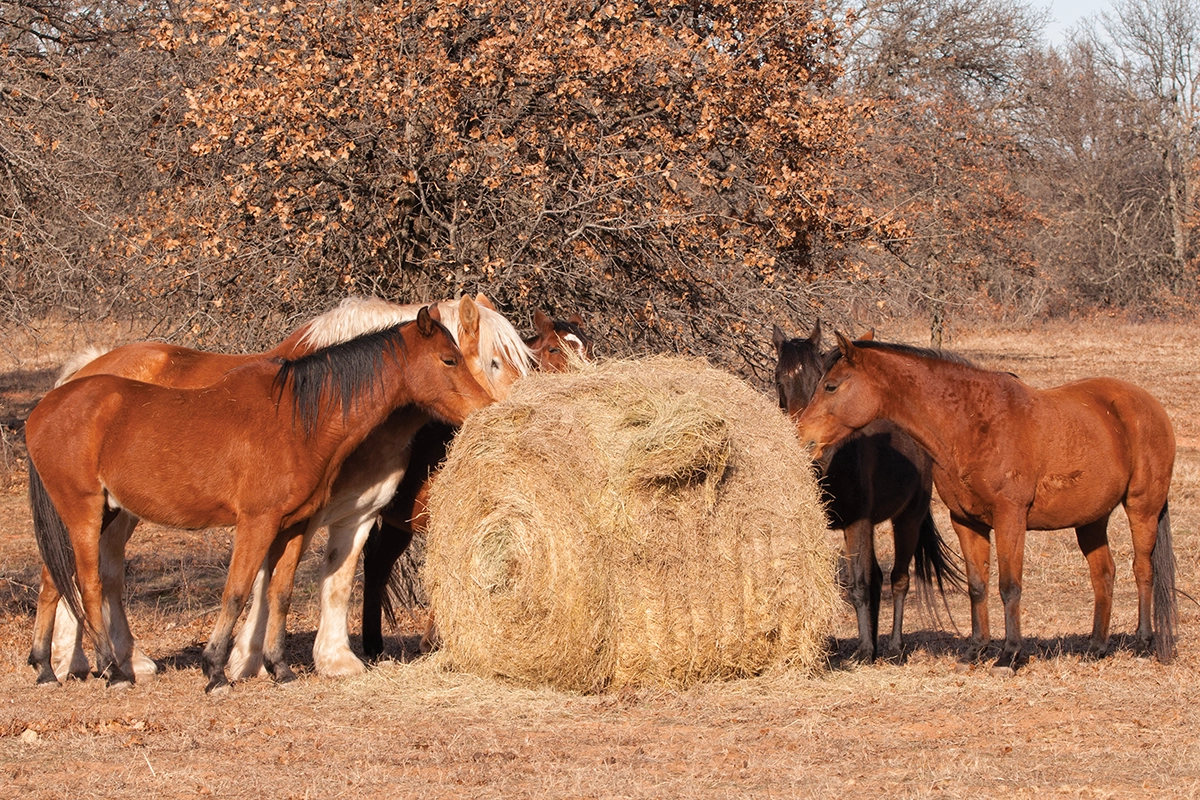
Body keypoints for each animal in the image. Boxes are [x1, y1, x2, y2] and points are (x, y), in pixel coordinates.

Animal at [49, 294, 531, 682]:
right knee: (86, 571)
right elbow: (265, 583)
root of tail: (85, 369)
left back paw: (103, 660)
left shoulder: (357, 516)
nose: (508, 414)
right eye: (491, 361)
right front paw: (246, 659)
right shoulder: (283, 515)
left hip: (119, 508)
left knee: (94, 570)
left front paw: (334, 659)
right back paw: (85, 661)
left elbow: (335, 581)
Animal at [360, 309, 596, 659]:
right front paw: (435, 638)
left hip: (396, 525)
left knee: (377, 567)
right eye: (555, 349)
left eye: (588, 347)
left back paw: (373, 644)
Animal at [773, 321, 961, 662]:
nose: (805, 443)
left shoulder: (856, 524)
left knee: (898, 580)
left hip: (907, 520)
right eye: (779, 379)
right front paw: (864, 646)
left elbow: (859, 584)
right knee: (878, 578)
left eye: (819, 380)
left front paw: (863, 650)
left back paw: (893, 647)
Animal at [794, 333, 1178, 671]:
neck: (973, 423)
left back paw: (1144, 644)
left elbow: (1009, 586)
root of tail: (1148, 405)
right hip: (1091, 519)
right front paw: (976, 650)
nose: (801, 437)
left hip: (1142, 508)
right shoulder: (966, 521)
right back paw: (1097, 647)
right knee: (1104, 574)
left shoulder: (1010, 518)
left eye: (831, 386)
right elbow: (977, 586)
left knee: (1143, 570)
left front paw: (1010, 655)